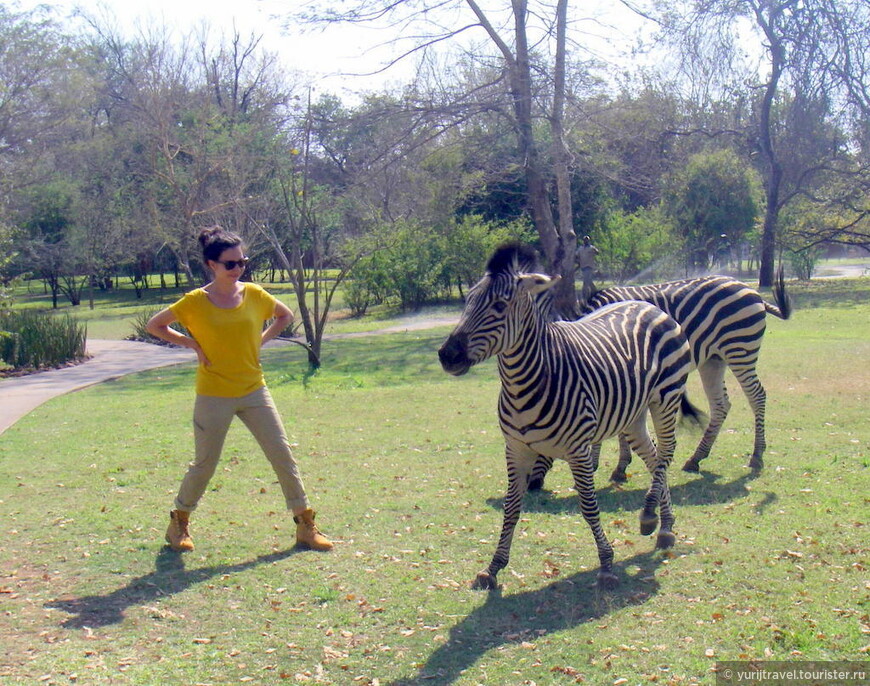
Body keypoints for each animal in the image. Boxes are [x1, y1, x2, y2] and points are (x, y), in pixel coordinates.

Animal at [436, 243, 700, 592]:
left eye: (499, 305)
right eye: (468, 301)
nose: (446, 355)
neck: (526, 383)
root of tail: (647, 305)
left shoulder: (578, 450)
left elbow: (588, 506)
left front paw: (606, 564)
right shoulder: (515, 449)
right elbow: (510, 508)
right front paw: (492, 568)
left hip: (666, 397)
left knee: (667, 453)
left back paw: (652, 519)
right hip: (632, 414)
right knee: (655, 457)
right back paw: (663, 524)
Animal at [528, 272, 792, 492]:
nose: (532, 485)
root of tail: (751, 290)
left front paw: (607, 465)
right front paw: (613, 465)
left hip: (740, 349)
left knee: (757, 396)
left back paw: (756, 456)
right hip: (713, 360)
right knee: (721, 405)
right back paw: (696, 458)